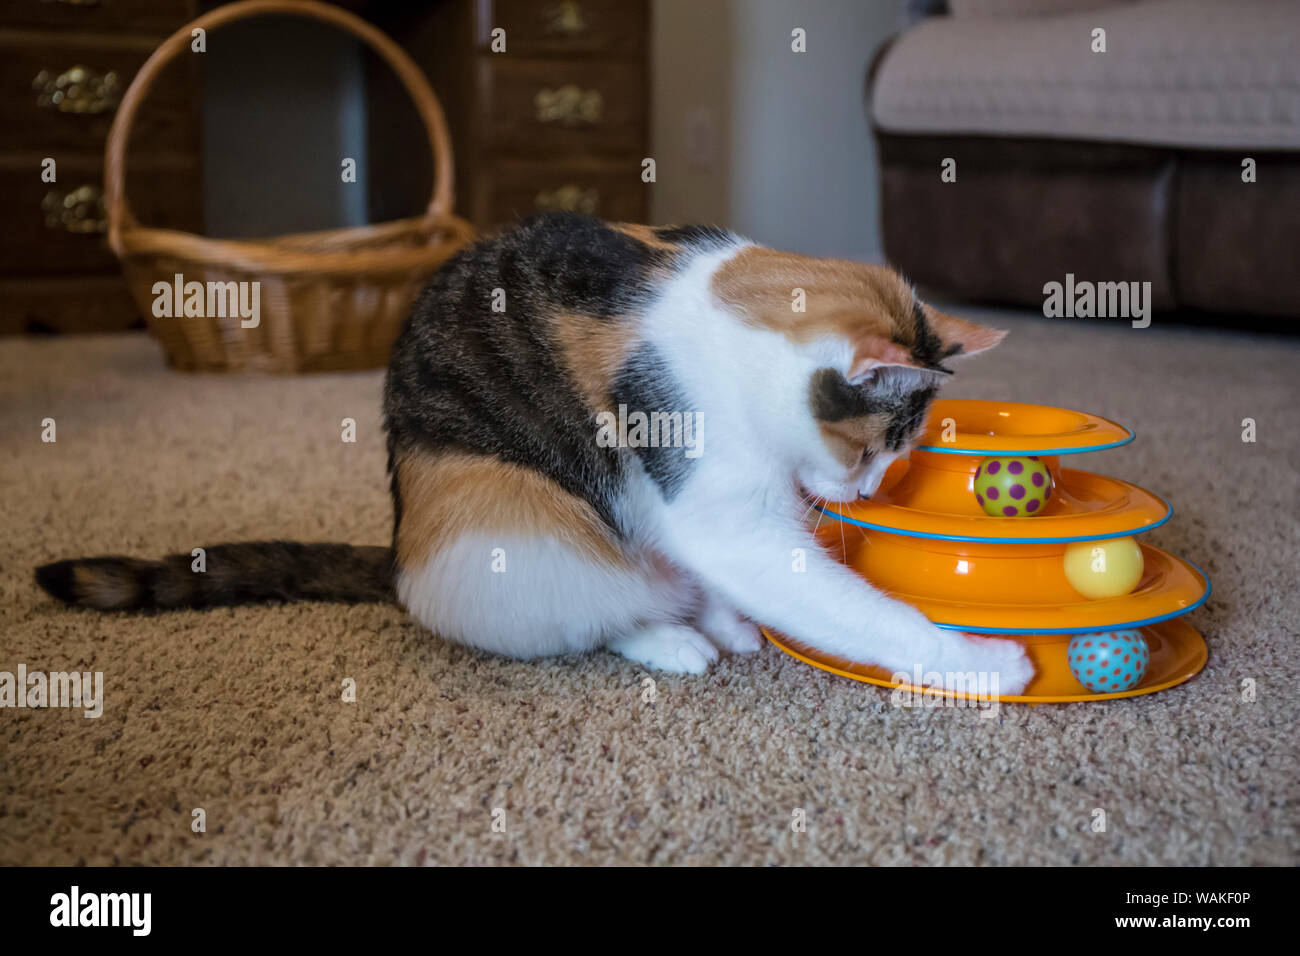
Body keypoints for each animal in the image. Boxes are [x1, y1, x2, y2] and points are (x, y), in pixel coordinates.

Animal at [35, 213, 1034, 691]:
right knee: (595, 600)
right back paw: (672, 637)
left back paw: (716, 624)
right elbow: (840, 602)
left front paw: (734, 612)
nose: (871, 489)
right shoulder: (716, 500)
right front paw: (982, 662)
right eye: (876, 447)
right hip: (521, 522)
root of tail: (399, 556)